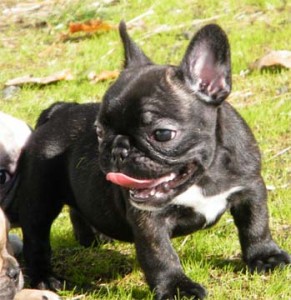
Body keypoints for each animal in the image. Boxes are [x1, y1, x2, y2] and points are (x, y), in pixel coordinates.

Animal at [6, 22, 290, 298]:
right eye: (99, 131)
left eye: (162, 134)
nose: (118, 149)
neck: (206, 176)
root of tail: (58, 110)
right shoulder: (148, 220)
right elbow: (160, 254)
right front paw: (177, 288)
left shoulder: (250, 187)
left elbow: (255, 224)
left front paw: (265, 257)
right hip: (40, 199)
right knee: (36, 237)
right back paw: (44, 278)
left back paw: (93, 237)